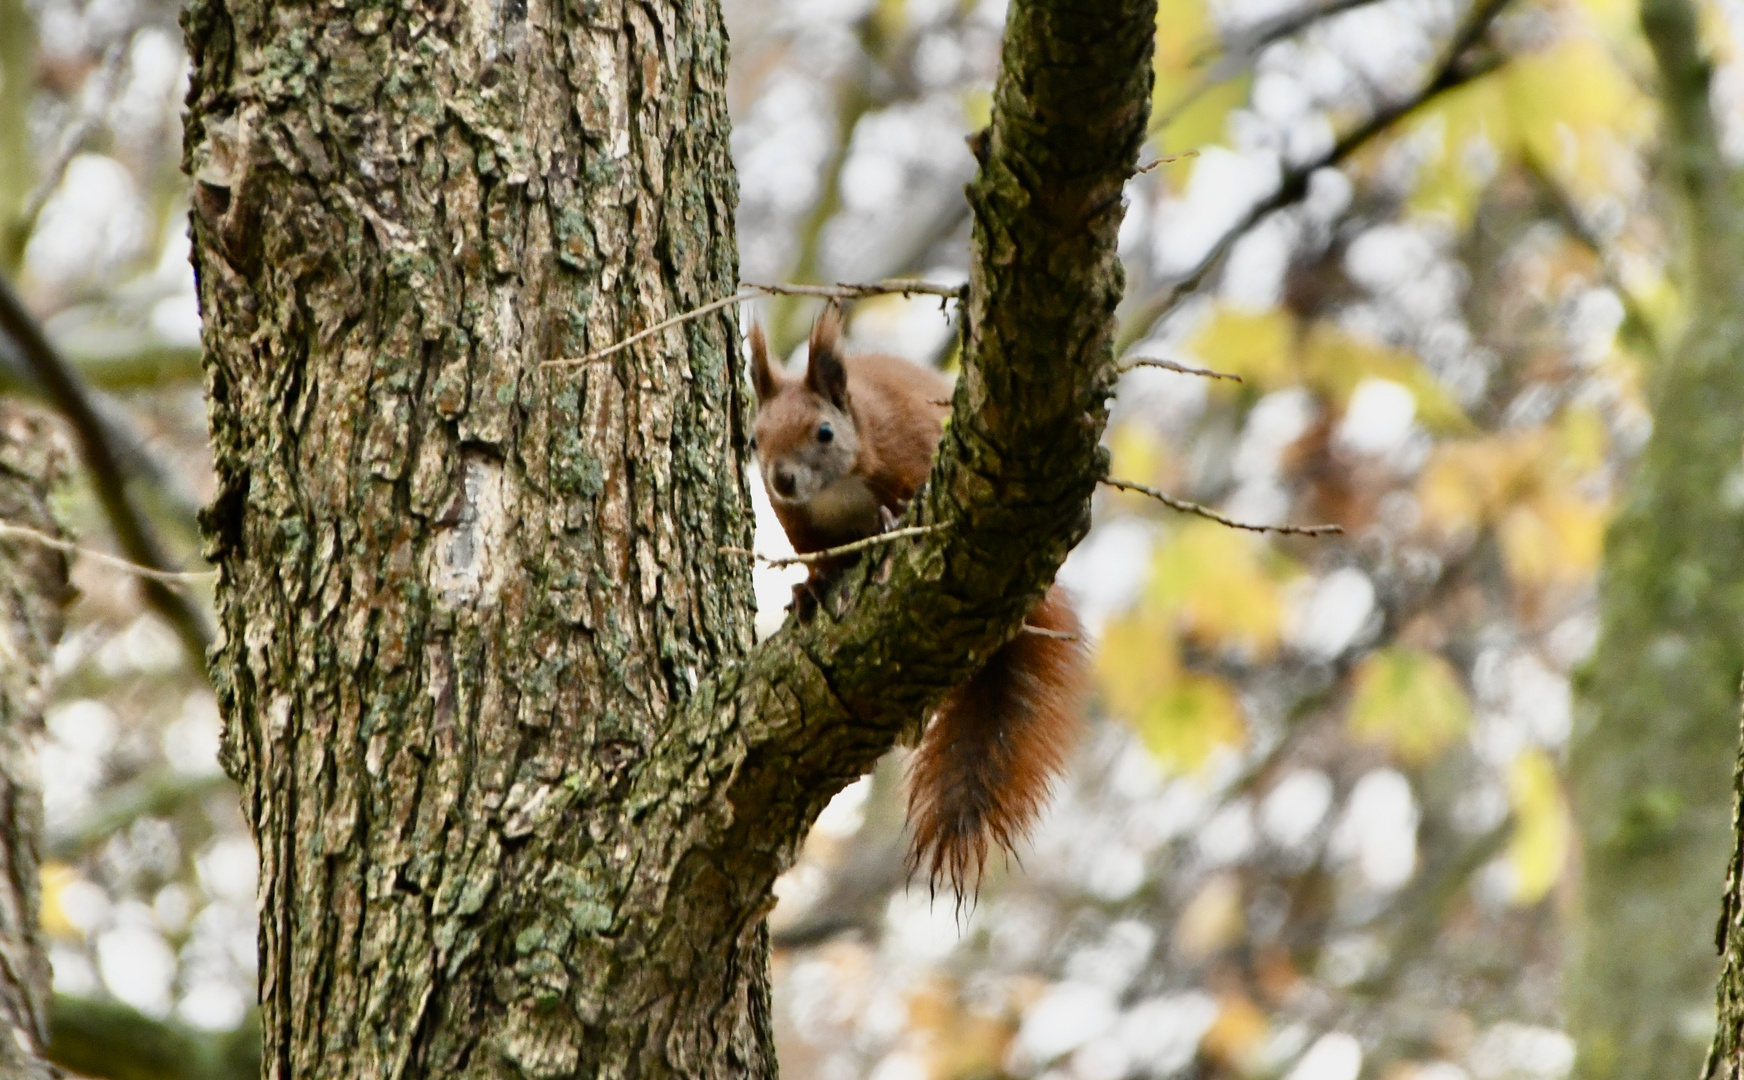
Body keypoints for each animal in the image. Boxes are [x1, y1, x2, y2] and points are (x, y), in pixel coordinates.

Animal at [748, 304, 1090, 897]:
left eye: (824, 432)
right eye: (753, 439)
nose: (782, 479)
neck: (839, 486)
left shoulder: (911, 444)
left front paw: (892, 520)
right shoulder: (802, 528)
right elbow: (819, 562)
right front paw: (810, 588)